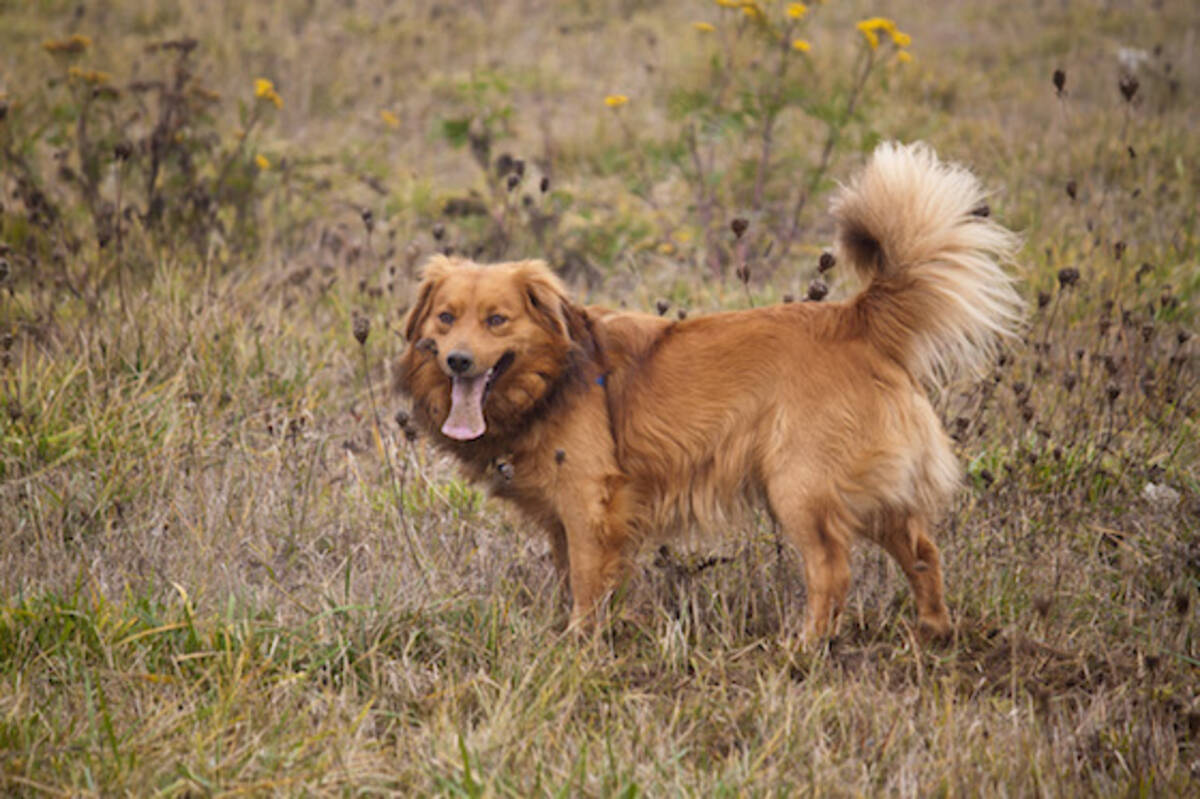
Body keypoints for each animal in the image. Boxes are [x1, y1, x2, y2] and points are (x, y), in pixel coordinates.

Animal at [393, 143, 1022, 643]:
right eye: (446, 318)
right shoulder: (566, 520)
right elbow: (580, 577)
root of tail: (855, 320)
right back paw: (935, 630)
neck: (551, 379)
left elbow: (587, 584)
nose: (457, 360)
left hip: (800, 488)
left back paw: (805, 647)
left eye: (497, 321)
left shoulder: (589, 504)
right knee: (922, 551)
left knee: (831, 571)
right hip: (871, 490)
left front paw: (578, 643)